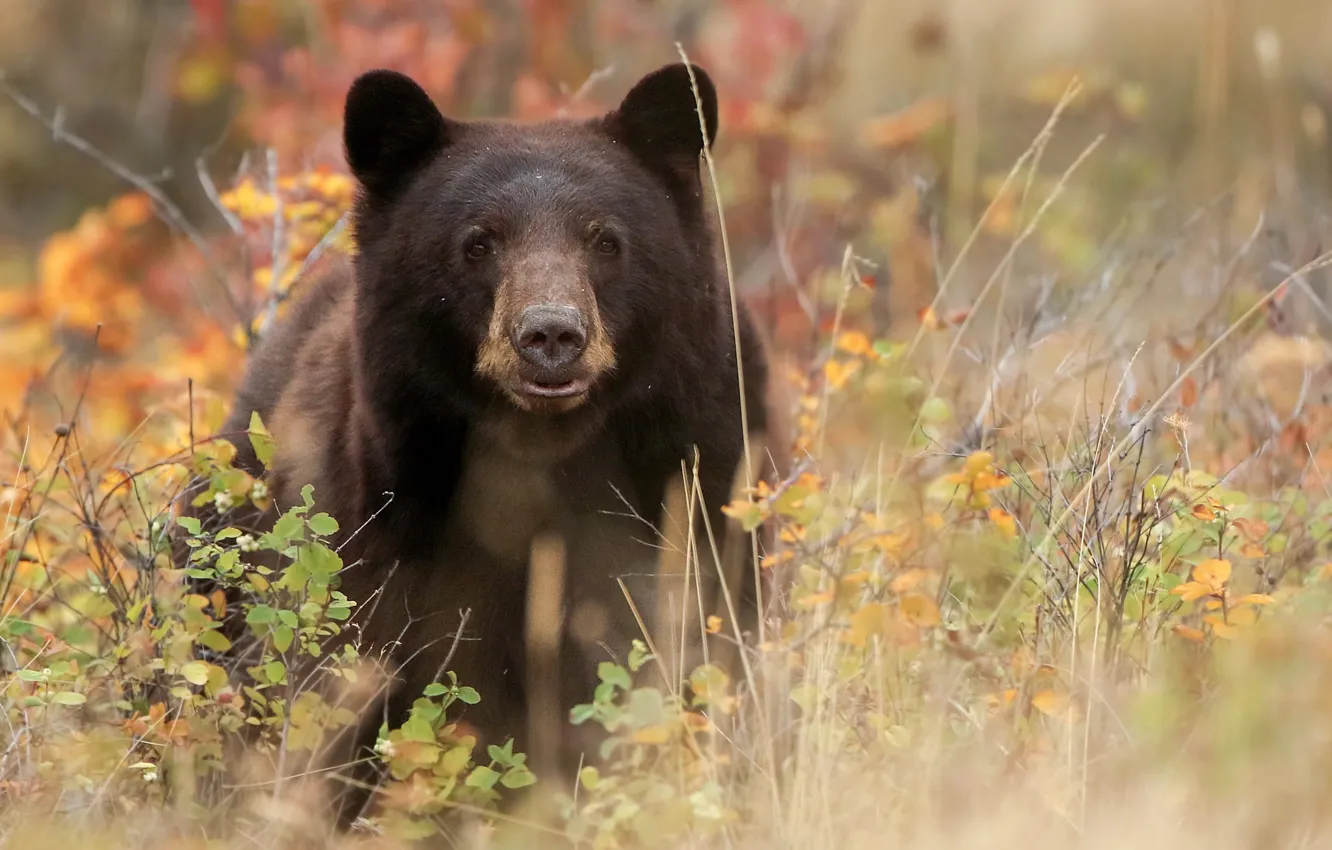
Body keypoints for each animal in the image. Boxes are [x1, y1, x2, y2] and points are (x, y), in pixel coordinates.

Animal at [179, 61, 784, 828]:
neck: (546, 461)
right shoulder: (384, 539)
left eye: (605, 240)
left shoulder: (704, 488)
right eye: (479, 242)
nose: (551, 335)